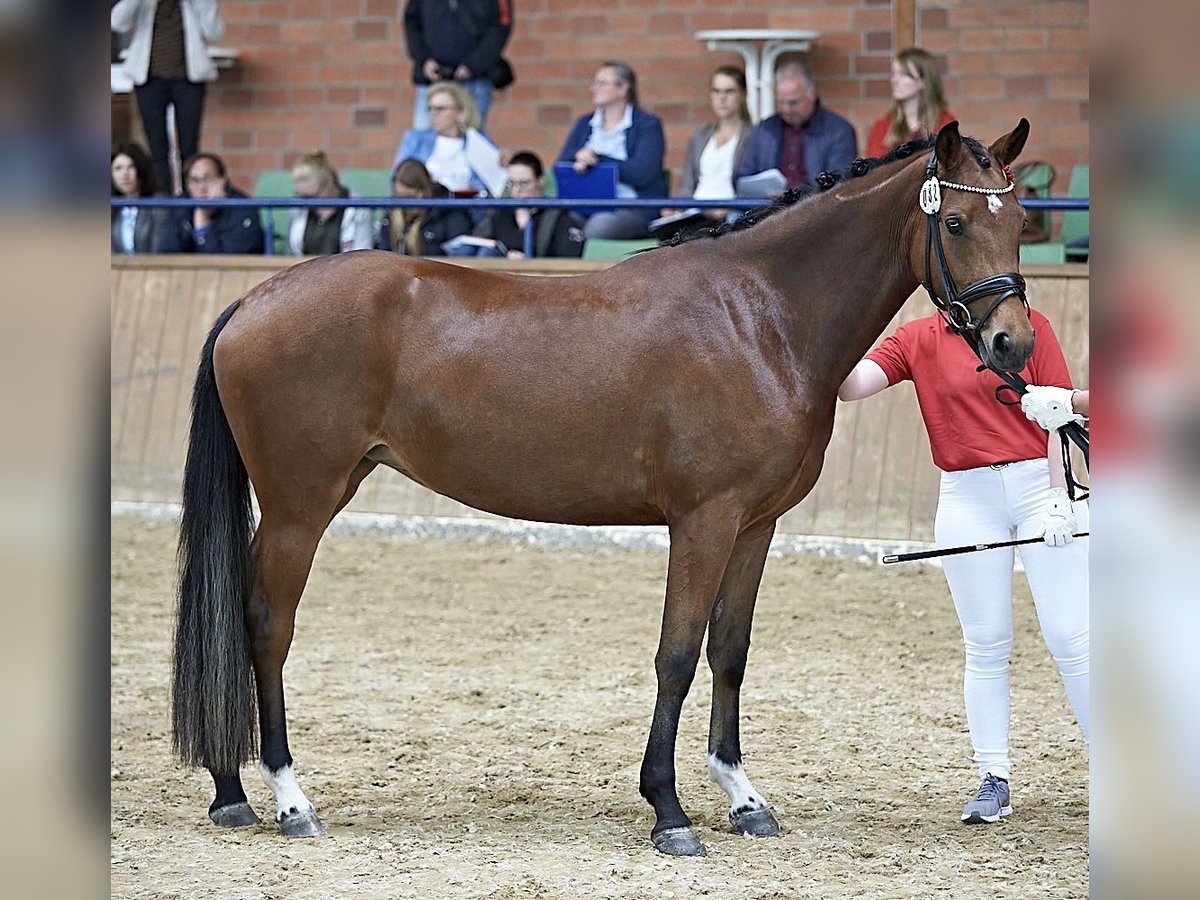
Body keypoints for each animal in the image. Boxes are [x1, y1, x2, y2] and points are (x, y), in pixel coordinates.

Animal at [174, 121, 1036, 859]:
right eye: (957, 224)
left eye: (1023, 218)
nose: (1012, 344)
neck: (759, 316)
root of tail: (254, 299)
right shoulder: (703, 521)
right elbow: (677, 656)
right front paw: (670, 810)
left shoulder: (755, 526)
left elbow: (729, 652)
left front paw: (744, 799)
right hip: (301, 506)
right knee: (266, 626)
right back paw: (290, 798)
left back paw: (230, 791)